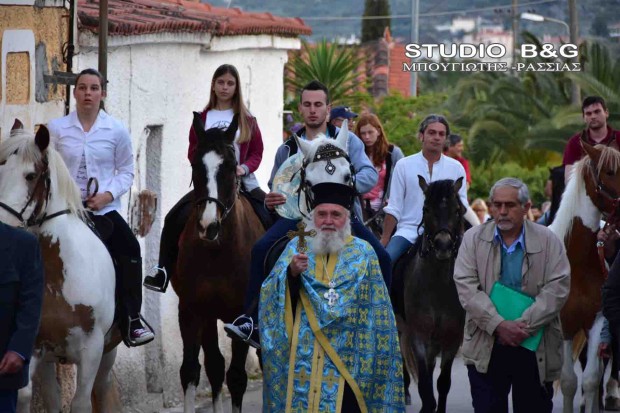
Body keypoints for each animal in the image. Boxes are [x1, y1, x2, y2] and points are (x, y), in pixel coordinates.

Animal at [0, 122, 119, 412]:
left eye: (31, 175)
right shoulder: (33, 345)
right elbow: (26, 395)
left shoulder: (93, 348)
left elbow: (81, 403)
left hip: (109, 351)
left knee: (103, 389)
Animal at [173, 113, 265, 413]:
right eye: (195, 165)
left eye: (231, 167)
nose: (208, 226)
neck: (218, 251)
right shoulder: (193, 310)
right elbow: (192, 370)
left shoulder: (241, 318)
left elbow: (236, 378)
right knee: (213, 365)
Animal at [398, 176, 466, 413]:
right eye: (426, 209)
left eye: (458, 210)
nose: (443, 245)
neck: (438, 287)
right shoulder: (418, 334)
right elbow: (425, 383)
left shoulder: (452, 337)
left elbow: (443, 382)